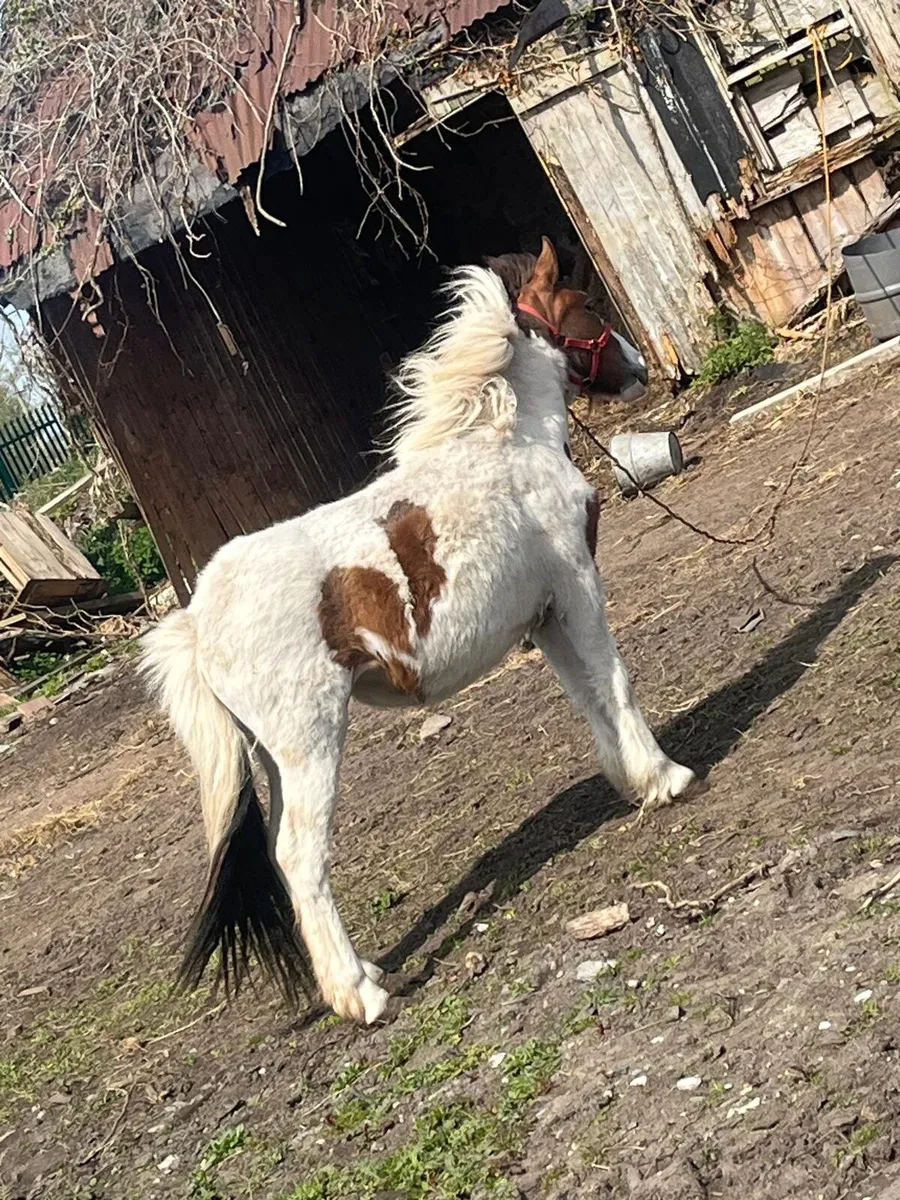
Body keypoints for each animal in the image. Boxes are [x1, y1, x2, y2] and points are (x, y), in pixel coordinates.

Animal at [142, 238, 697, 1025]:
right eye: (586, 304)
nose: (643, 366)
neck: (506, 446)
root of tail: (195, 620)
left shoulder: (545, 616)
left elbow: (588, 696)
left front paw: (632, 781)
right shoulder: (577, 590)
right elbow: (614, 681)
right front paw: (667, 777)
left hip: (274, 759)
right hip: (310, 747)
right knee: (300, 859)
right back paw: (364, 994)